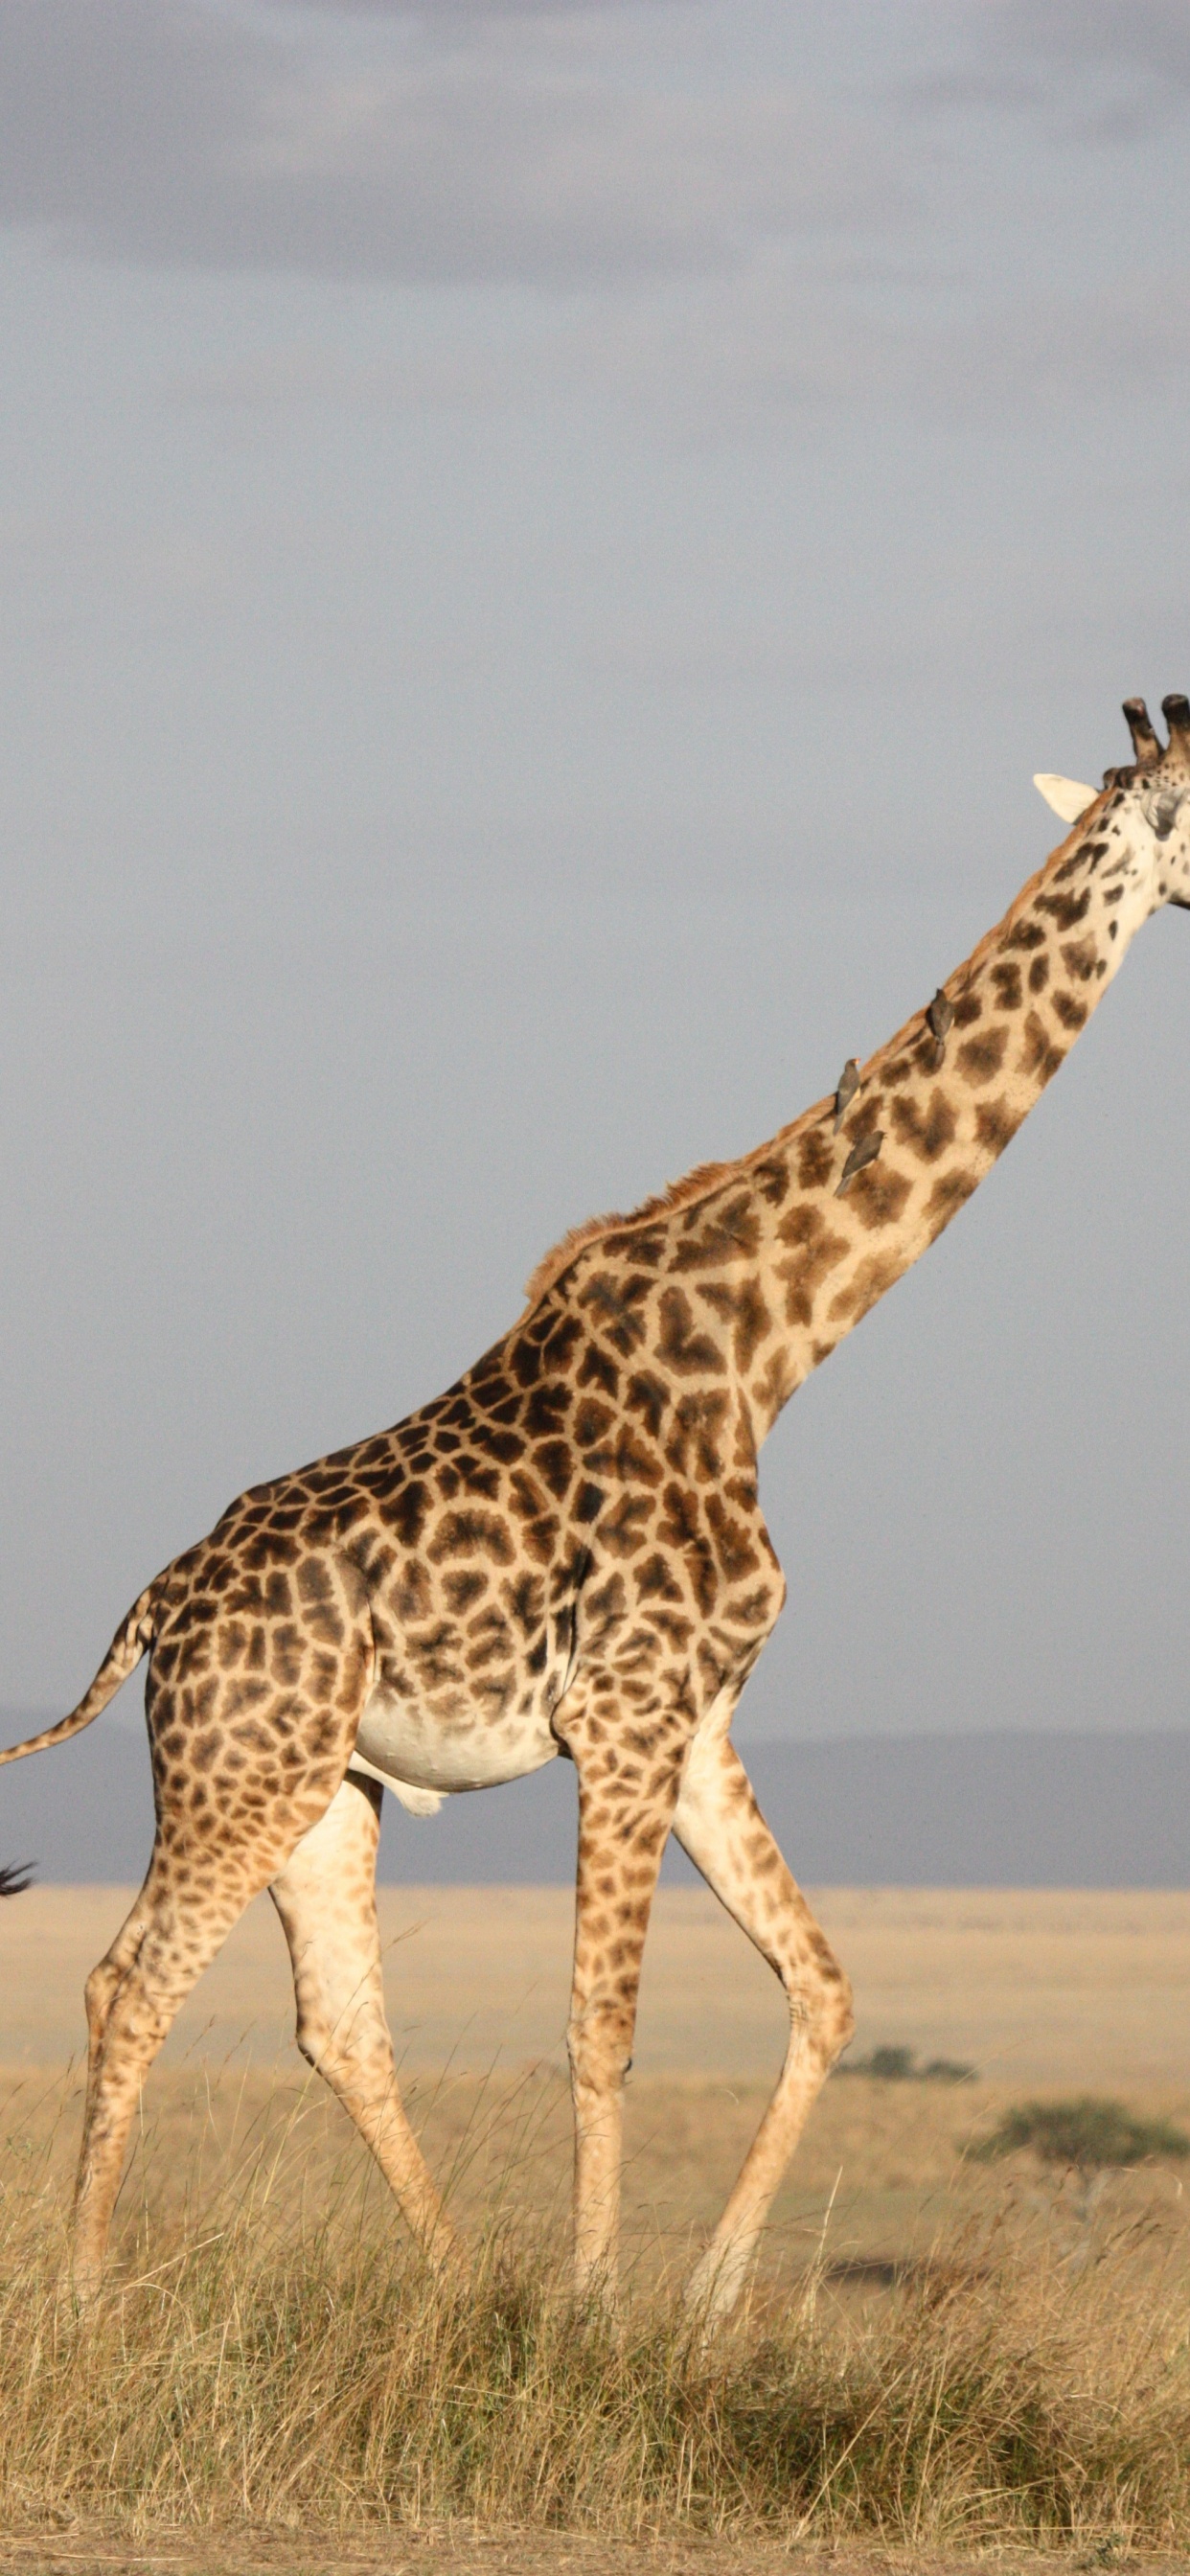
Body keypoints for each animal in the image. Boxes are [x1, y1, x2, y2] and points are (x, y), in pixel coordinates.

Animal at [2, 695, 1188, 2318]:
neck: (765, 1352)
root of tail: (154, 1610)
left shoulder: (699, 1719)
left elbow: (822, 1988)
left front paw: (703, 2305)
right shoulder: (622, 1716)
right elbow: (600, 2026)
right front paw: (592, 2309)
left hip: (323, 1788)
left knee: (338, 2021)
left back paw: (452, 2284)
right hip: (234, 1773)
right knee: (128, 1984)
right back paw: (83, 2298)